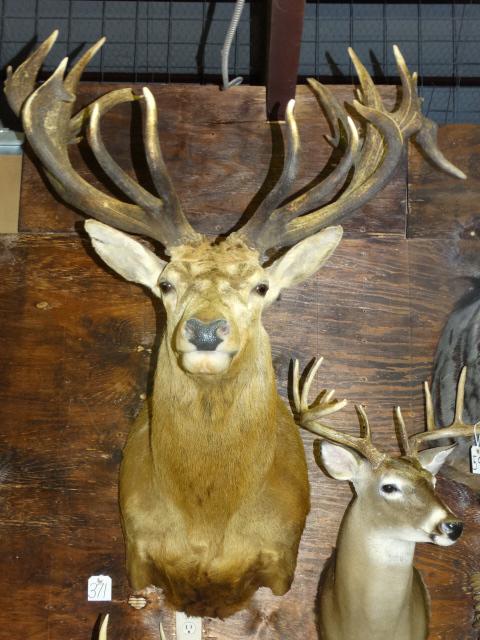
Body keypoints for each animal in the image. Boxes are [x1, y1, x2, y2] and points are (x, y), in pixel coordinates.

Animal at [4, 31, 465, 620]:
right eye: (166, 283)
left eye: (262, 287)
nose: (205, 330)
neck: (209, 523)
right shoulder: (139, 558)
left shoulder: (280, 562)